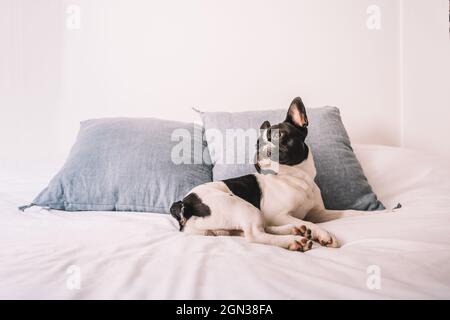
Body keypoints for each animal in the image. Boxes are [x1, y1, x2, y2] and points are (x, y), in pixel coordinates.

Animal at [171, 96, 388, 251]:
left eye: (279, 135)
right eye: (257, 143)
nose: (260, 149)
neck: (295, 177)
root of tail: (185, 203)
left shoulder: (319, 212)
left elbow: (346, 212)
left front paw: (380, 213)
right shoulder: (279, 214)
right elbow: (308, 220)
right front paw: (323, 234)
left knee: (258, 229)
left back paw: (296, 231)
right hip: (243, 206)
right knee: (255, 234)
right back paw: (294, 240)